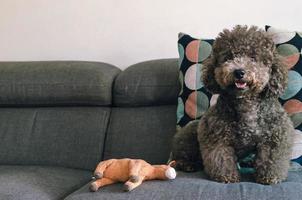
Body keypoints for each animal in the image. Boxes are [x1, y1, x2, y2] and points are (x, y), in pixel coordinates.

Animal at [172, 25, 294, 184]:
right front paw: (227, 176)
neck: (245, 103)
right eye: (228, 57)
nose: (239, 72)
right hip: (192, 131)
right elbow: (221, 158)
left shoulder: (275, 136)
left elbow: (271, 158)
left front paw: (268, 177)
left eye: (253, 58)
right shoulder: (216, 136)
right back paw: (187, 164)